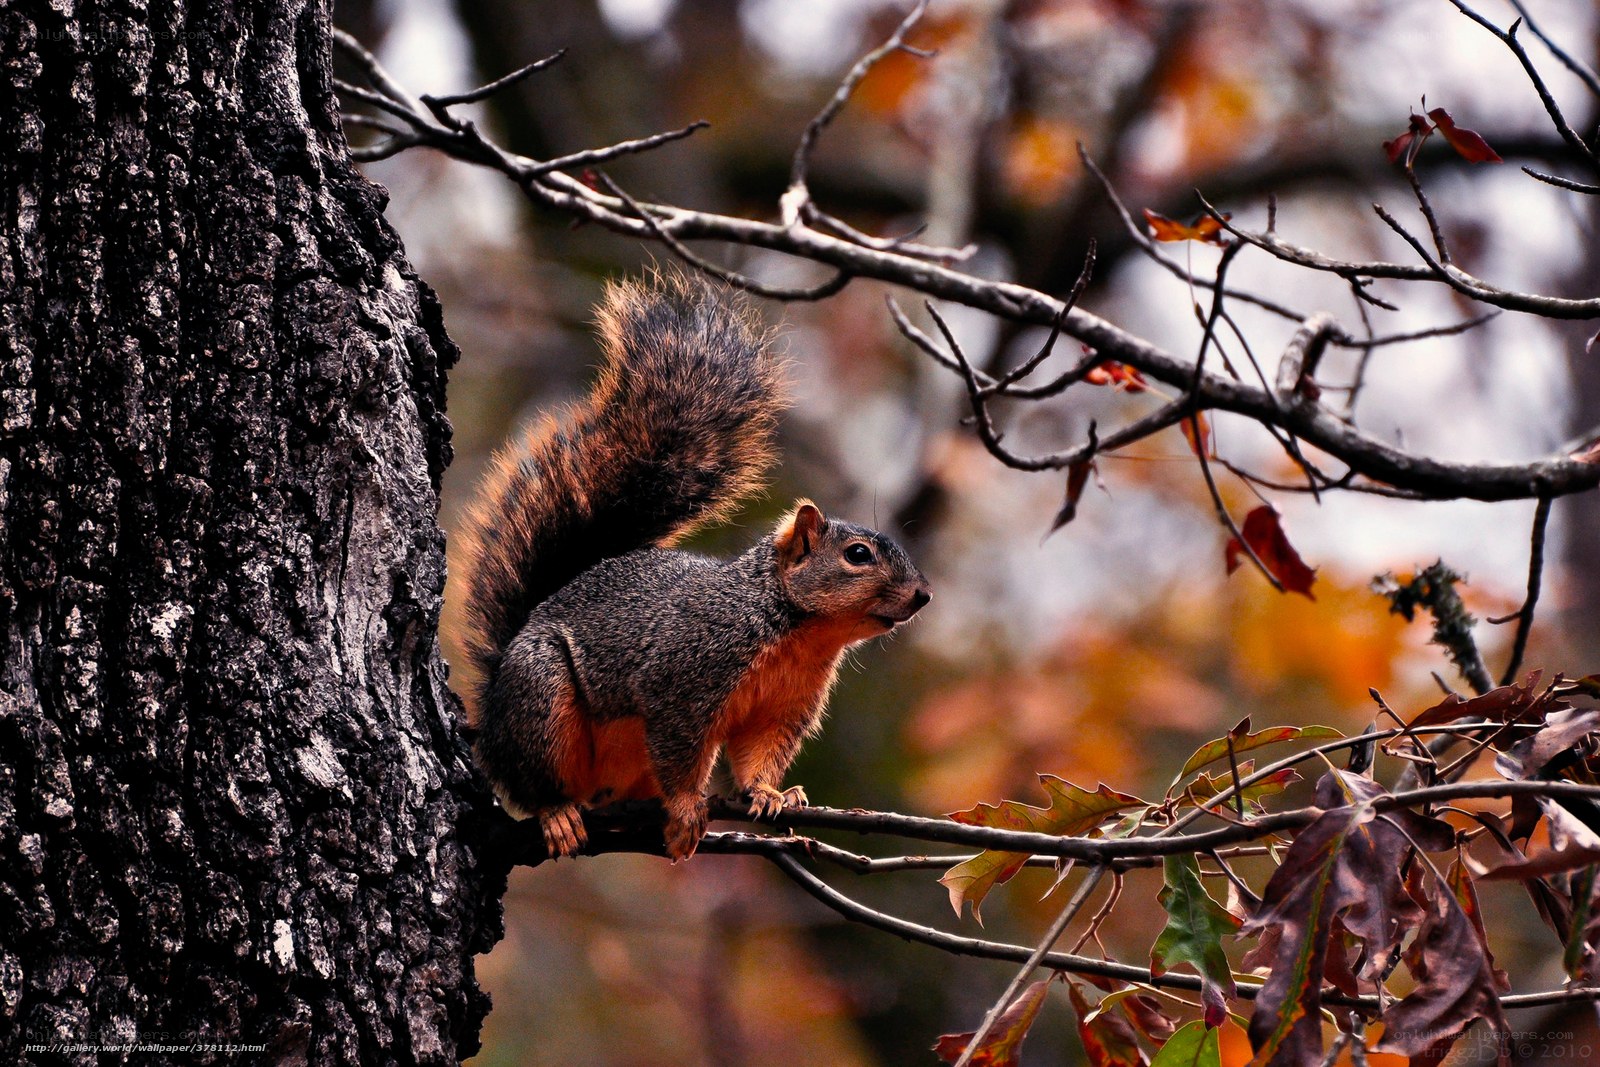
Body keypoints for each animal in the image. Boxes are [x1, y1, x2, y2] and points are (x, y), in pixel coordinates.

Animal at [457, 270, 931, 861]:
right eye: (858, 555)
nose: (922, 595)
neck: (797, 631)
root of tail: (493, 703)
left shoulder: (783, 708)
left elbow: (759, 753)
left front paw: (772, 793)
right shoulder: (685, 678)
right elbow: (681, 749)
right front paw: (686, 808)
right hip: (539, 694)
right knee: (532, 779)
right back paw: (558, 812)